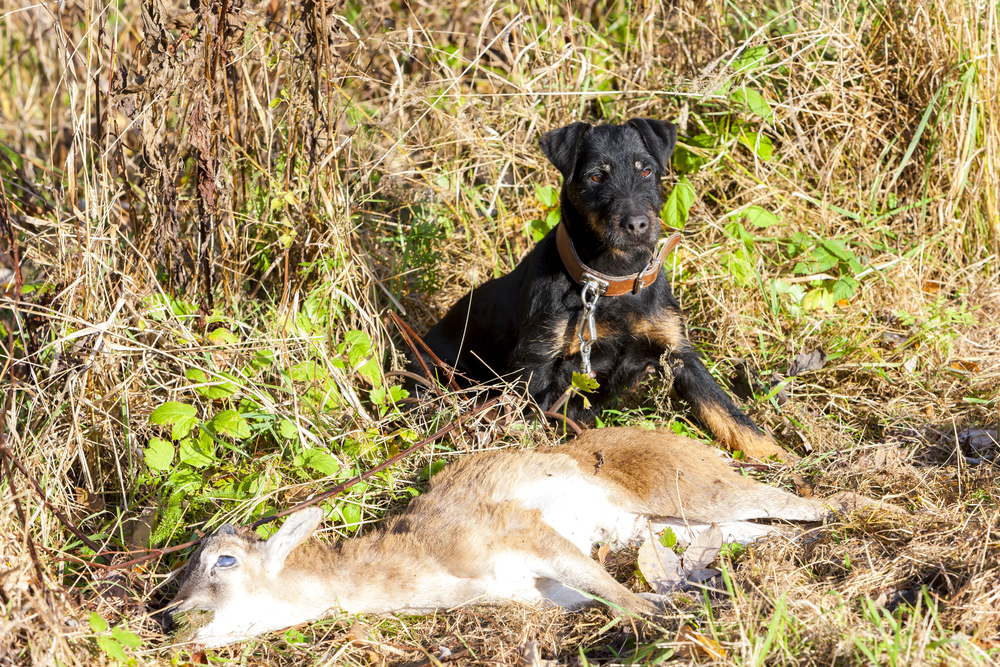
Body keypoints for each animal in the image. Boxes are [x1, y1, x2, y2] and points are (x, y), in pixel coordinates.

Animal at [172, 428, 884, 648]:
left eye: (224, 561)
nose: (174, 615)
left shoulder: (523, 532)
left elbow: (624, 598)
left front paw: (676, 622)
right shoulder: (544, 590)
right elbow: (612, 593)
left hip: (697, 490)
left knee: (813, 503)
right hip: (683, 525)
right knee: (761, 530)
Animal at [410, 120, 792, 462]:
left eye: (646, 171)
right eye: (596, 177)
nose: (637, 224)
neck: (612, 281)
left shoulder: (678, 354)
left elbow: (725, 410)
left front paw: (780, 459)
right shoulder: (535, 366)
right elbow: (530, 421)